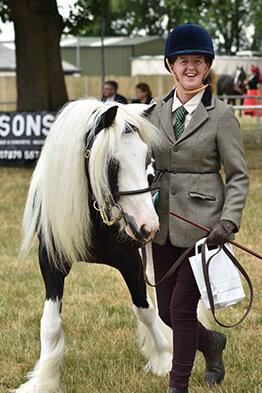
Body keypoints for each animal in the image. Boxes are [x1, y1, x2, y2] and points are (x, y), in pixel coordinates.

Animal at [14, 99, 174, 392]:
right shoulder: (51, 260)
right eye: (112, 162)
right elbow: (50, 323)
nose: (148, 226)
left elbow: (144, 309)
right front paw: (44, 380)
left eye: (147, 159)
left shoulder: (129, 260)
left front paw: (164, 359)